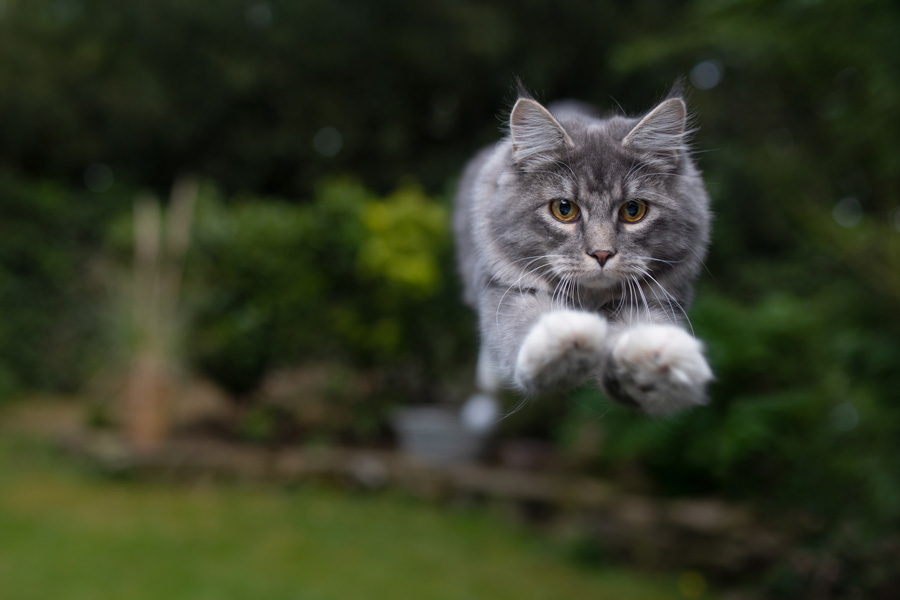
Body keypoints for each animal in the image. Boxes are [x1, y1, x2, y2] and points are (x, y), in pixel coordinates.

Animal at [454, 85, 712, 418]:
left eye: (633, 210)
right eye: (564, 209)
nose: (601, 254)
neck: (591, 300)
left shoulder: (657, 300)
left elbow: (646, 329)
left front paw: (658, 360)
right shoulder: (505, 288)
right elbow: (524, 321)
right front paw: (566, 339)